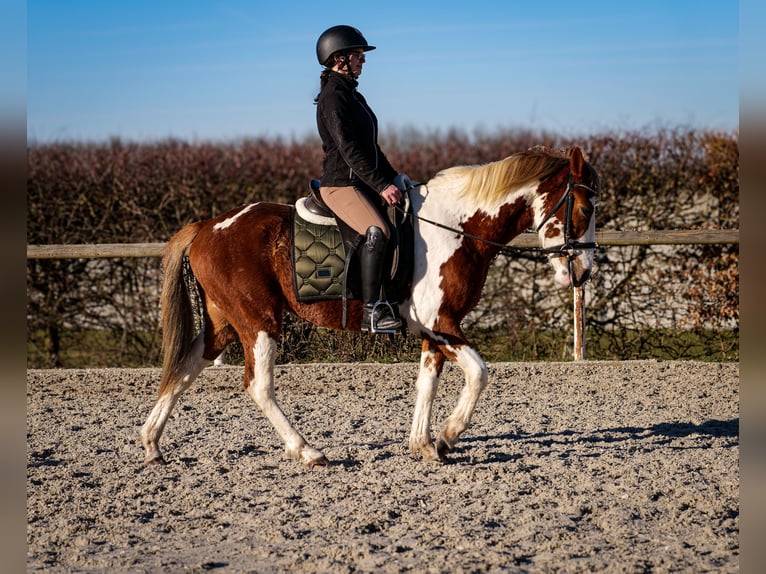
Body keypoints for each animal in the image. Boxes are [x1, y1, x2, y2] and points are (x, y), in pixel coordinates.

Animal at [141, 146, 604, 470]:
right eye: (584, 208)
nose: (582, 271)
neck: (457, 229)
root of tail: (207, 226)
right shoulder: (443, 324)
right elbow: (479, 374)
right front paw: (448, 437)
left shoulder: (433, 330)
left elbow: (426, 383)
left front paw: (423, 444)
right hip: (258, 321)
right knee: (258, 385)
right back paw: (307, 451)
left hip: (223, 322)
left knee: (184, 368)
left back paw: (151, 444)